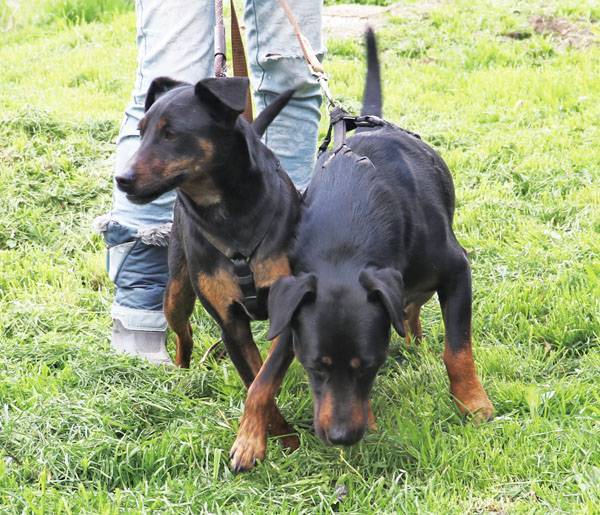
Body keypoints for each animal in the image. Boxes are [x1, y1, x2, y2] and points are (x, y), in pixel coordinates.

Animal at [231, 29, 494, 470]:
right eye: (314, 367)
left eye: (370, 365)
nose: (341, 437)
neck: (346, 236)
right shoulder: (293, 301)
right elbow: (264, 378)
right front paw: (250, 438)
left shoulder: (458, 271)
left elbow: (457, 350)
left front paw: (473, 404)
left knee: (414, 304)